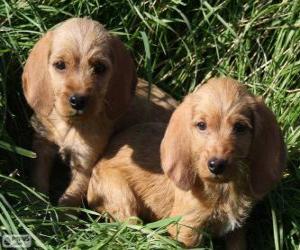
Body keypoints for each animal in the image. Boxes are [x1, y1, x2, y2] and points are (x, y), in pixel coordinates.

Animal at [22, 17, 137, 205]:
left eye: (99, 68)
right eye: (60, 65)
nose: (78, 101)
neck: (69, 125)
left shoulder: (85, 163)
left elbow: (69, 199)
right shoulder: (43, 145)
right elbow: (39, 177)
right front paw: (38, 203)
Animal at [87, 77, 286, 248]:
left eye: (240, 127)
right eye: (201, 125)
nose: (216, 165)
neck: (222, 189)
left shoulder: (236, 230)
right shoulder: (187, 229)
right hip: (121, 195)